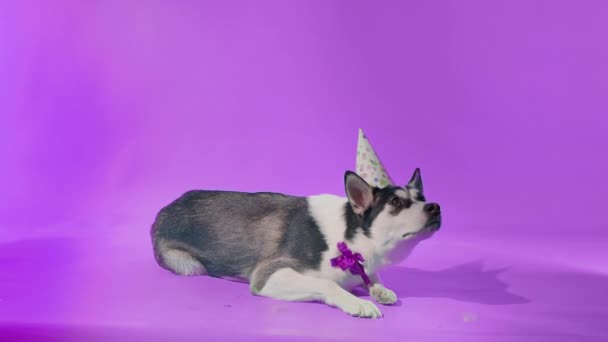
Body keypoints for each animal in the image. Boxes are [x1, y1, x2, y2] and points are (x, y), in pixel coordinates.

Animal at [150, 168, 440, 318]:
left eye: (422, 198)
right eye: (396, 203)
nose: (435, 206)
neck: (349, 238)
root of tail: (165, 209)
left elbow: (374, 279)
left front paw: (380, 290)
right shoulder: (269, 275)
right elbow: (327, 284)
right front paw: (357, 302)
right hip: (188, 264)